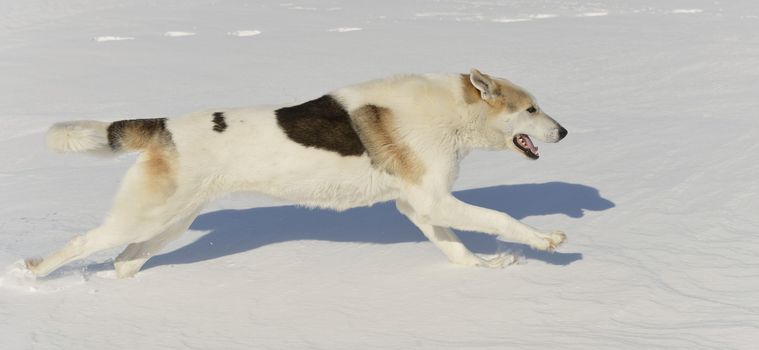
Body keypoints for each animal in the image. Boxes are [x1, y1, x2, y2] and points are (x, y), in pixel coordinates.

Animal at [23, 68, 568, 278]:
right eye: (531, 108)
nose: (563, 131)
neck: (451, 111)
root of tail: (164, 127)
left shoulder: (418, 205)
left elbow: (457, 248)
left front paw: (485, 268)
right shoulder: (433, 201)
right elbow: (501, 220)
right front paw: (547, 242)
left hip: (170, 222)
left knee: (125, 261)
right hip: (145, 217)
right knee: (83, 245)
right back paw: (31, 276)